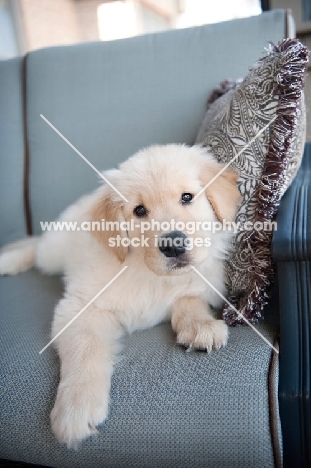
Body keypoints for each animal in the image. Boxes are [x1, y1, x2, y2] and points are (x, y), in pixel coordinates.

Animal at [0, 144, 241, 448]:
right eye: (139, 210)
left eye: (187, 197)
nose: (173, 245)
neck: (149, 274)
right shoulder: (81, 306)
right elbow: (85, 347)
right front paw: (77, 406)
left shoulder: (201, 281)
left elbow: (188, 298)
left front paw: (200, 325)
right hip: (54, 252)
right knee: (35, 247)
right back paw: (8, 261)